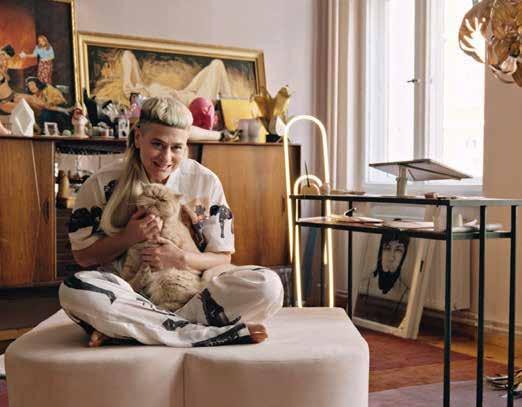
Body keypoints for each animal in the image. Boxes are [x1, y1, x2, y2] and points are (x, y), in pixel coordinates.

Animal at [121, 183, 203, 311]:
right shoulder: (133, 256)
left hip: (169, 278)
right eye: (150, 195)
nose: (156, 198)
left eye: (163, 200)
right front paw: (123, 281)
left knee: (175, 306)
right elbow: (125, 277)